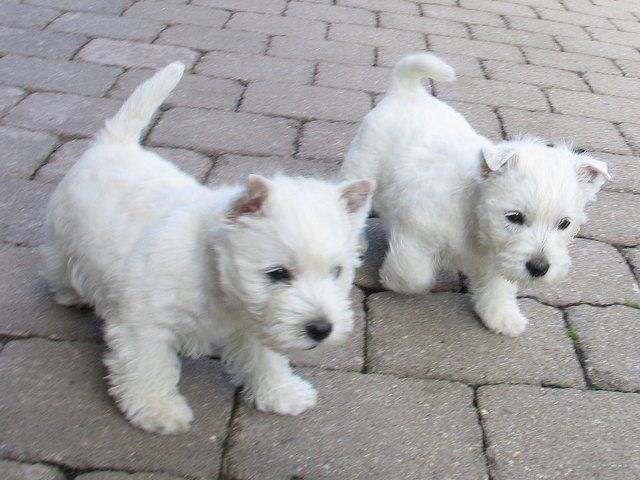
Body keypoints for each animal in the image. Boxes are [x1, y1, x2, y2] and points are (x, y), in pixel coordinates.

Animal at [42, 62, 372, 434]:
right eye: (277, 273)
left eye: (336, 271)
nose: (321, 329)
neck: (213, 271)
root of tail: (115, 143)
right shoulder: (142, 324)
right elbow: (149, 366)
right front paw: (158, 410)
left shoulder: (254, 323)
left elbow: (266, 358)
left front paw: (281, 393)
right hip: (62, 238)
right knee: (59, 267)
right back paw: (69, 294)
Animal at [342, 52, 608, 336]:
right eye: (514, 217)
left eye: (564, 224)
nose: (539, 268)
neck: (473, 216)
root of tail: (407, 90)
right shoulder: (417, 230)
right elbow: (414, 275)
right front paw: (393, 279)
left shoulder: (500, 257)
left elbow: (499, 286)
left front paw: (502, 316)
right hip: (363, 163)